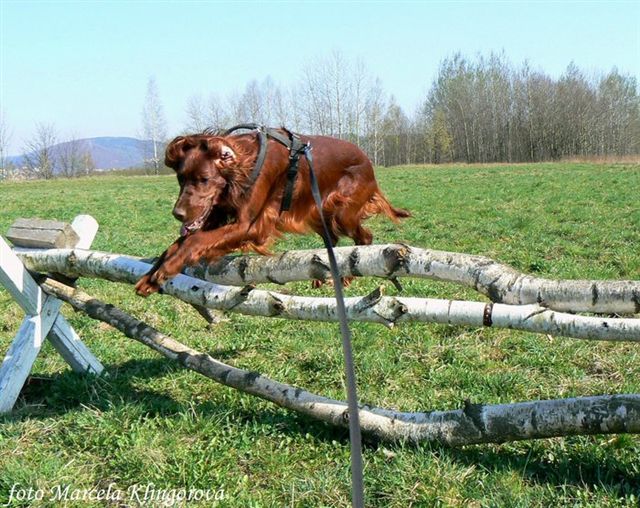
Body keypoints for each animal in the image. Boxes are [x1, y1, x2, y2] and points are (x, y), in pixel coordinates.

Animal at [135, 128, 410, 298]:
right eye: (181, 178)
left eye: (204, 179)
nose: (178, 213)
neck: (242, 166)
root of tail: (367, 159)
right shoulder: (217, 214)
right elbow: (178, 243)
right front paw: (151, 275)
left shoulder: (247, 225)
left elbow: (194, 240)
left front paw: (165, 270)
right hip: (317, 211)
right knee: (332, 240)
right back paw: (322, 277)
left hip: (342, 211)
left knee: (364, 238)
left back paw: (344, 279)